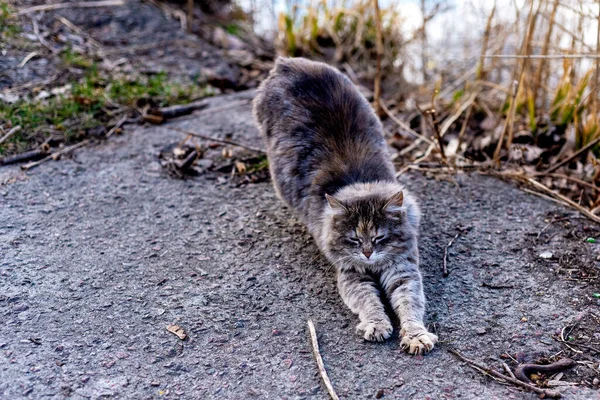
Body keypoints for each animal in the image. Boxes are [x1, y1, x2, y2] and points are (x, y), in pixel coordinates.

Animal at [251, 56, 438, 354]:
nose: (367, 254)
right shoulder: (352, 275)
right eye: (353, 240)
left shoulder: (403, 271)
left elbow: (410, 305)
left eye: (380, 238)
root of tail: (286, 62)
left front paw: (415, 335)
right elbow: (370, 303)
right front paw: (377, 325)